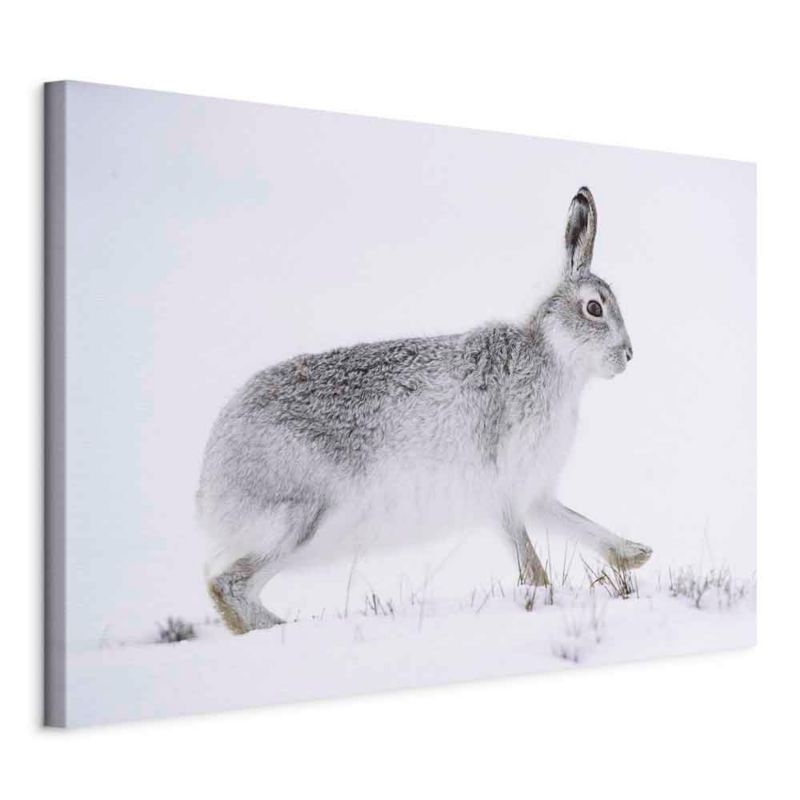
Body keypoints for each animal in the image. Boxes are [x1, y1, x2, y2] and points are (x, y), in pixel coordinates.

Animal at [197, 187, 652, 634]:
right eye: (594, 308)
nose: (629, 354)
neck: (553, 357)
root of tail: (211, 479)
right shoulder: (503, 488)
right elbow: (529, 558)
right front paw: (544, 596)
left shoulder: (534, 492)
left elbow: (577, 523)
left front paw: (635, 555)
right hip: (302, 519)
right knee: (227, 585)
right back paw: (285, 628)